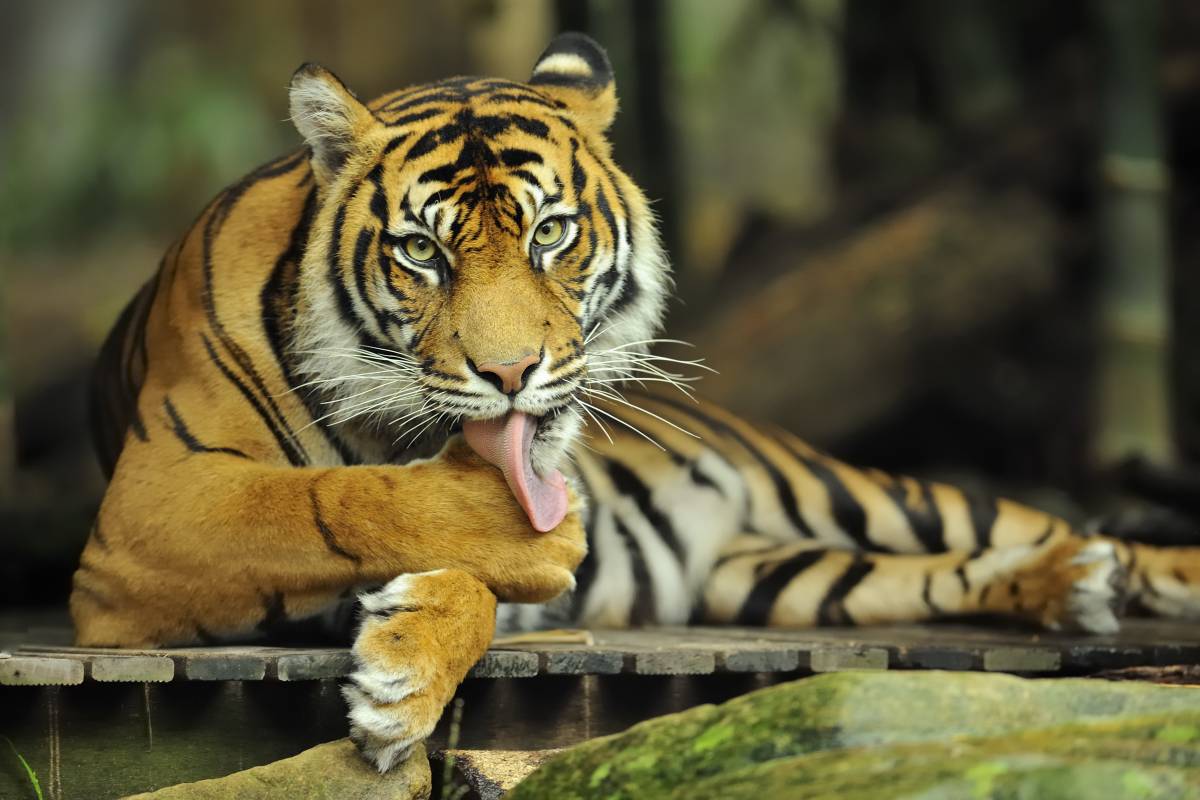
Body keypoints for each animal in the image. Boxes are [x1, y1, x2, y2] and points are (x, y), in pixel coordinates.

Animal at [75, 32, 1200, 772]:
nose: (510, 371)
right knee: (927, 576)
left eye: (551, 234)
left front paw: (403, 671)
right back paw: (1069, 585)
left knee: (1042, 526)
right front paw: (413, 659)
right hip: (780, 578)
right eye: (422, 252)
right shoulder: (152, 503)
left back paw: (1099, 572)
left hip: (855, 493)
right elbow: (342, 503)